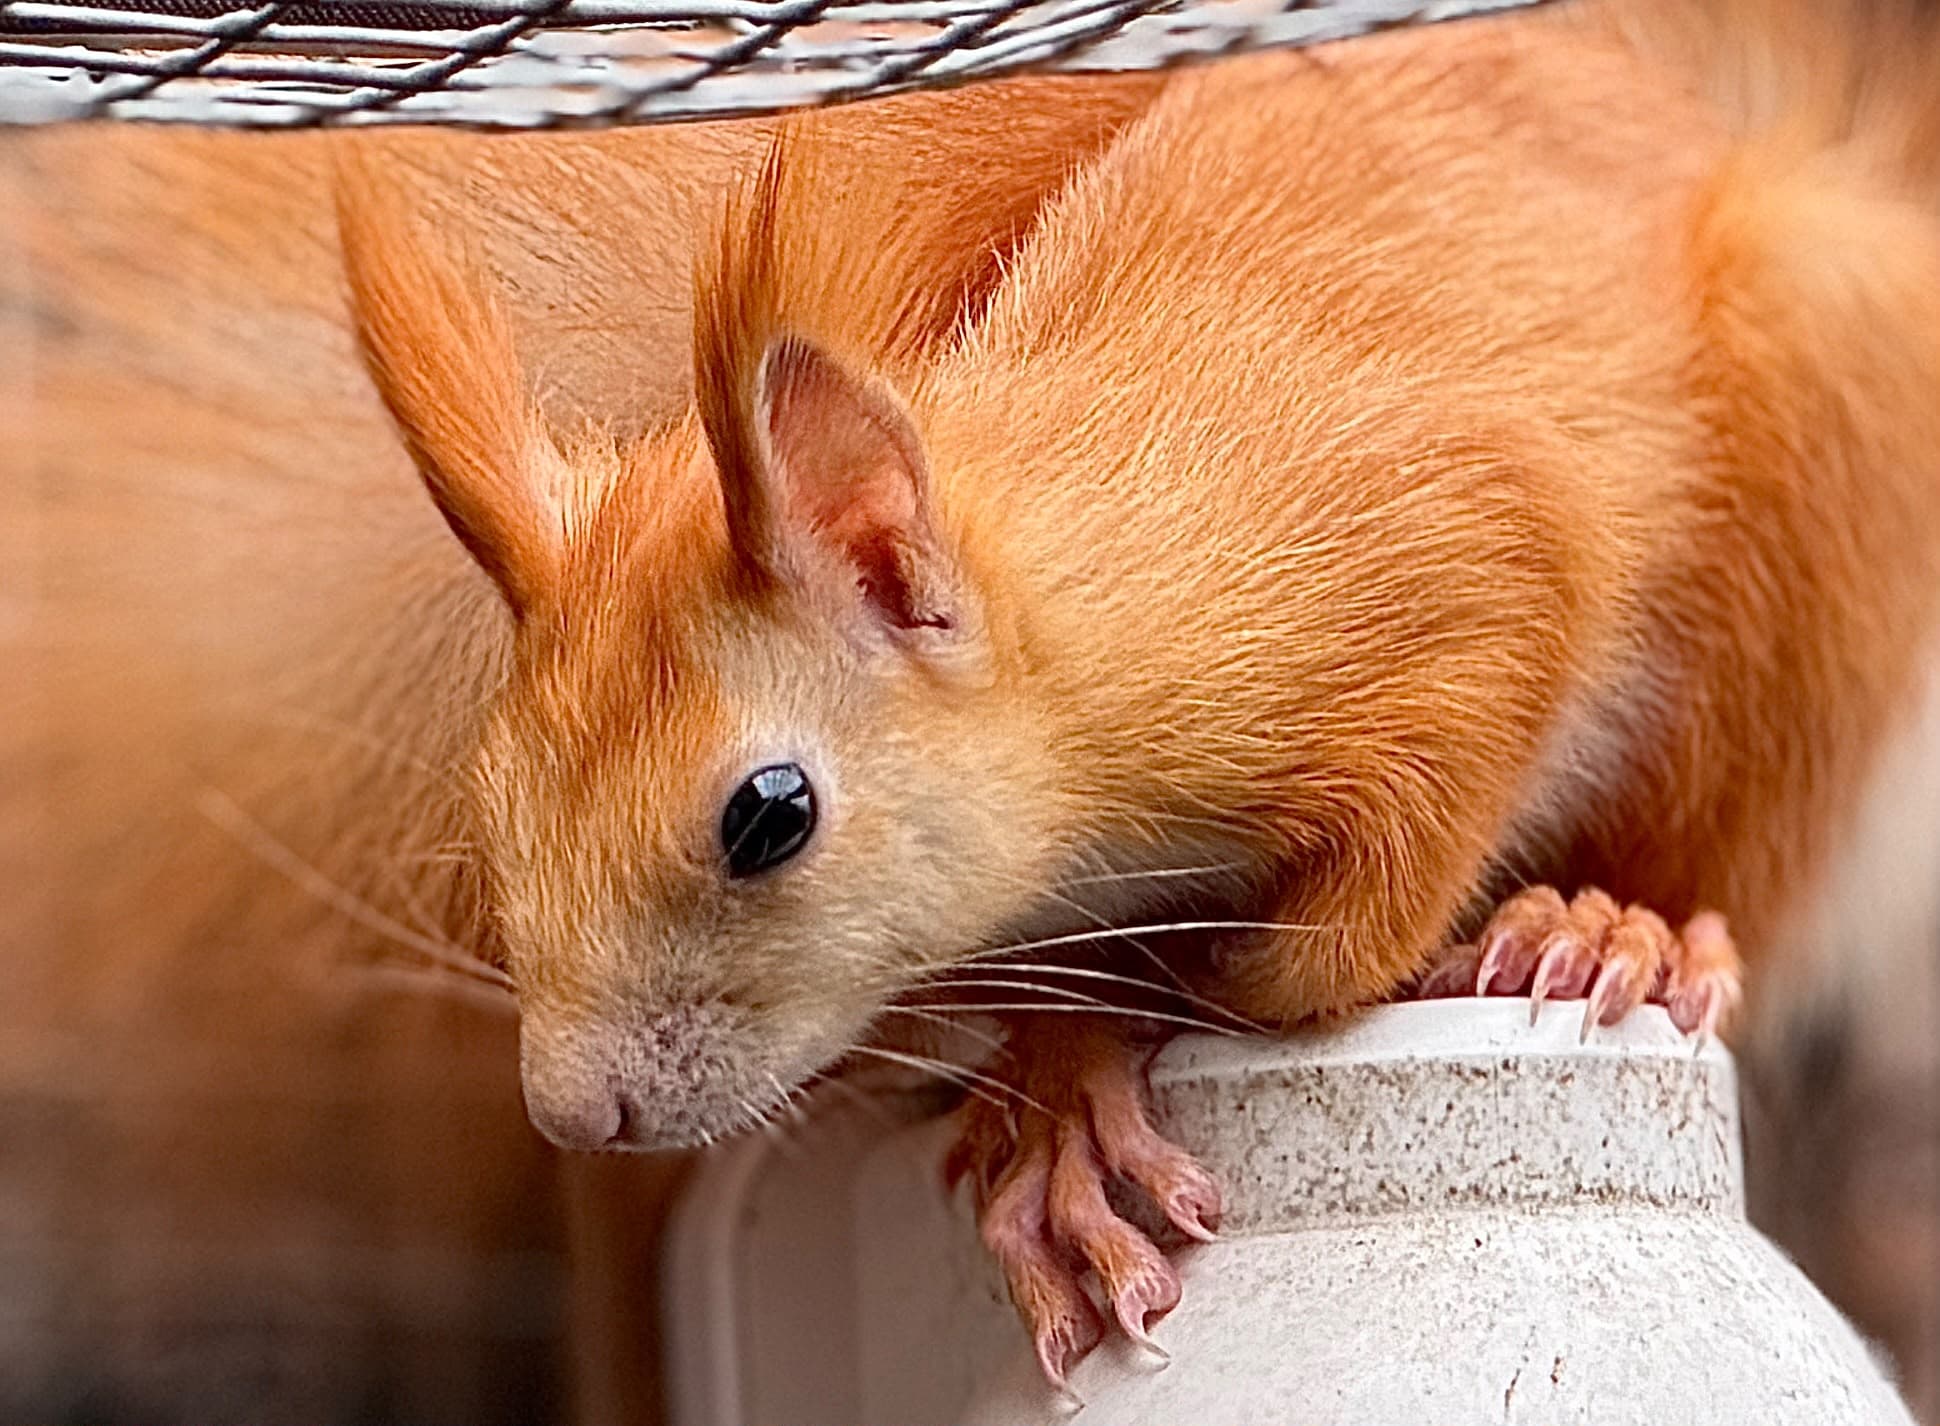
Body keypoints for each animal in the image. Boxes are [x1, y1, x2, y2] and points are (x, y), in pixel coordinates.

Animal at [315, 0, 1940, 1389]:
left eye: (769, 815)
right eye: (491, 806)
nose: (576, 1113)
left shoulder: (1449, 574)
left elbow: (1316, 956)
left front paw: (1165, 996)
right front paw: (1062, 1073)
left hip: (1810, 480)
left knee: (1728, 851)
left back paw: (1619, 925)